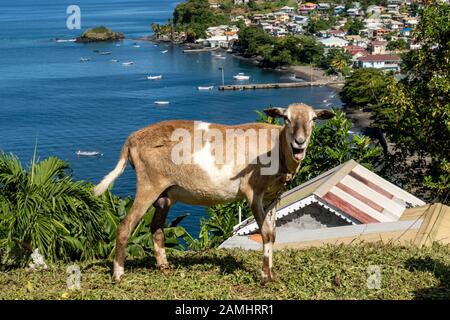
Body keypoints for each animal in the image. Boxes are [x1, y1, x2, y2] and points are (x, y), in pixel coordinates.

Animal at [94, 102, 334, 282]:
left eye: (313, 119)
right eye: (286, 118)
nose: (299, 143)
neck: (275, 150)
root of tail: (131, 140)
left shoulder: (273, 196)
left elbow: (273, 234)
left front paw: (271, 274)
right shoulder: (252, 191)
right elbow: (265, 233)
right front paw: (265, 277)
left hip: (165, 193)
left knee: (157, 228)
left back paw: (164, 267)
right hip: (148, 183)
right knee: (125, 226)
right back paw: (118, 274)